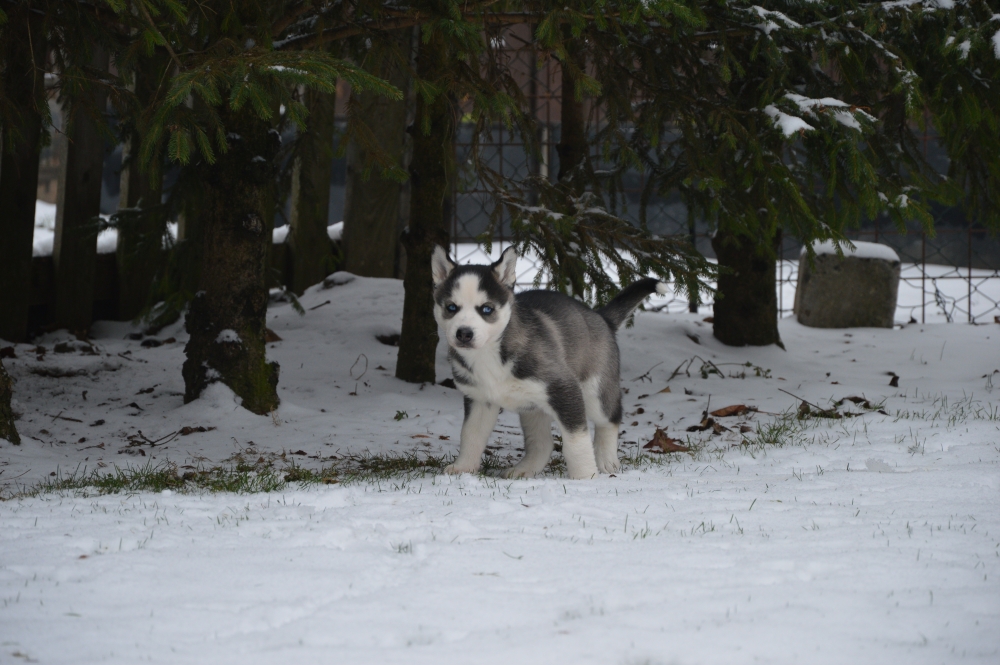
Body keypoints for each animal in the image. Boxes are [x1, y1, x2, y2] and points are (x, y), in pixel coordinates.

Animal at [431, 245, 668, 479]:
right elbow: (470, 434)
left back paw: (607, 461)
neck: (489, 354)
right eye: (451, 308)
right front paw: (463, 468)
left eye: (486, 309)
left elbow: (576, 442)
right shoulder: (480, 399)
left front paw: (585, 477)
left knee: (610, 419)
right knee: (542, 443)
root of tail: (600, 317)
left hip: (595, 391)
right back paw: (524, 469)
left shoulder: (564, 389)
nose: (464, 334)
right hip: (532, 407)